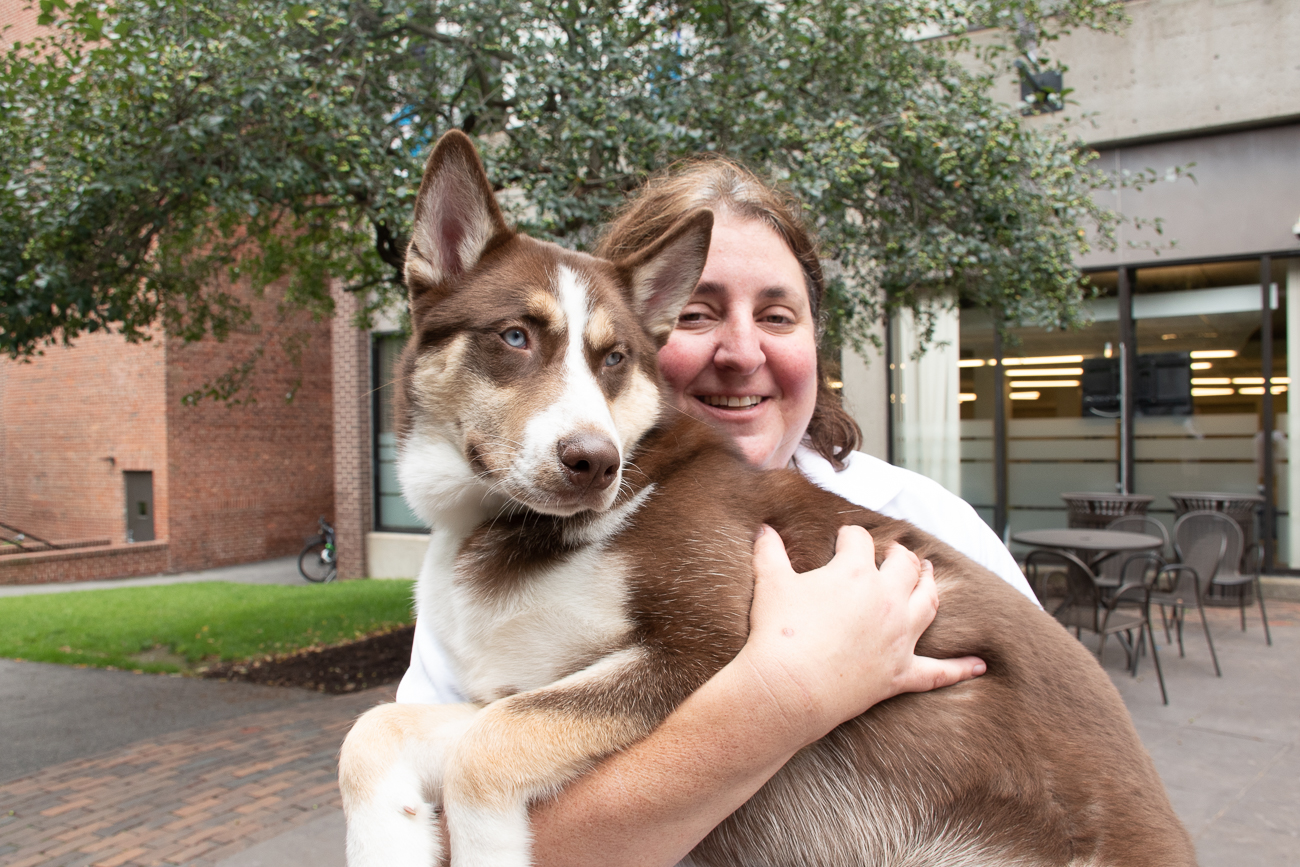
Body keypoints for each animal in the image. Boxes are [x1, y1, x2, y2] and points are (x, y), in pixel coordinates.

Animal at [338, 132, 1196, 867]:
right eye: (515, 336)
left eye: (614, 358)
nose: (595, 464)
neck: (513, 527)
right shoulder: (522, 684)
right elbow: (375, 730)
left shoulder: (700, 650)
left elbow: (484, 748)